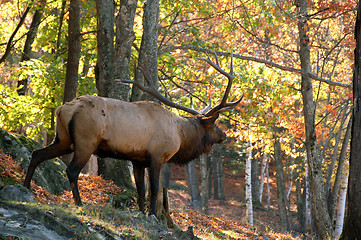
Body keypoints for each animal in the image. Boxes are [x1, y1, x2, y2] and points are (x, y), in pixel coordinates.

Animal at [23, 54, 242, 216]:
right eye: (214, 125)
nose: (224, 135)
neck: (180, 136)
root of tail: (62, 109)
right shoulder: (156, 155)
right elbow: (154, 188)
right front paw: (152, 214)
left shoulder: (137, 159)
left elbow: (140, 189)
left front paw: (141, 212)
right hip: (86, 141)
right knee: (71, 170)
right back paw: (79, 203)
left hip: (63, 139)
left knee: (37, 154)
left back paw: (25, 187)